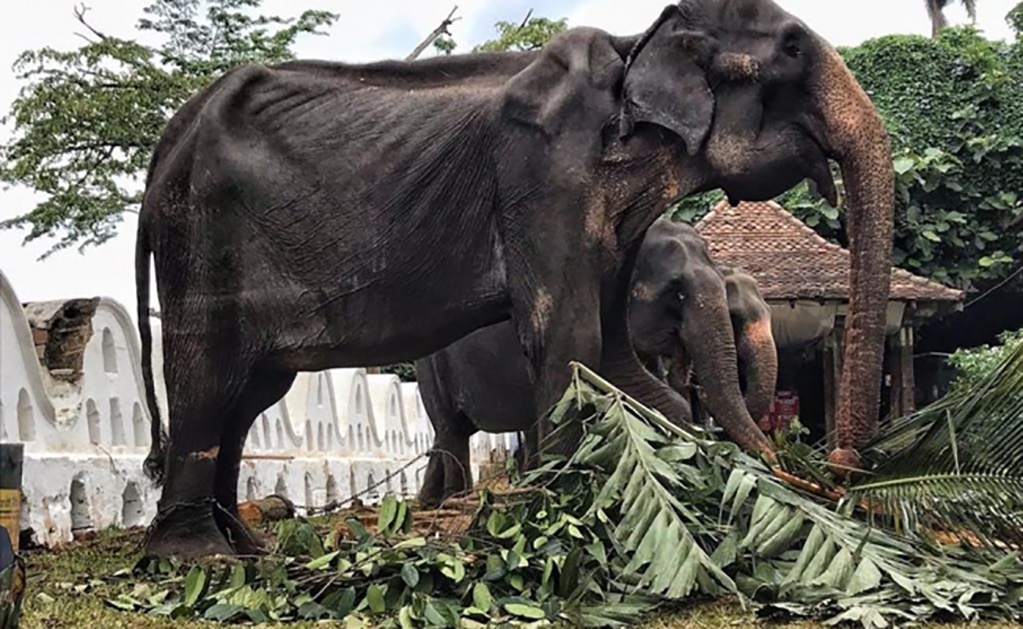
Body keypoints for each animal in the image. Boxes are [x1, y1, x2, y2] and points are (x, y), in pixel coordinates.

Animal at [415, 218, 780, 505]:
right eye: (676, 292)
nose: (696, 387)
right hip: (430, 367)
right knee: (452, 430)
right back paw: (455, 500)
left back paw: (432, 501)